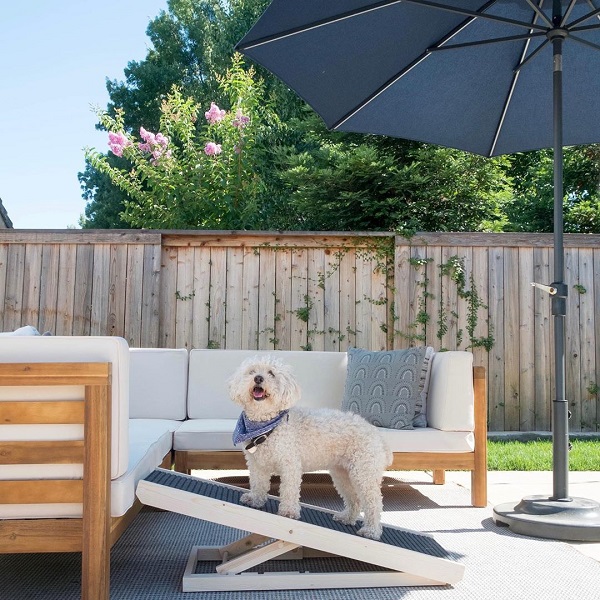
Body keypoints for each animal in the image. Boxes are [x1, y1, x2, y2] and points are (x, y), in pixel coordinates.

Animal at [227, 356, 392, 540]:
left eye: (271, 373)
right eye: (252, 371)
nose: (258, 378)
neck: (266, 426)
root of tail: (377, 435)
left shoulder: (290, 465)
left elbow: (289, 490)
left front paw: (288, 512)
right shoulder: (257, 464)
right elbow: (258, 483)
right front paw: (255, 500)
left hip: (364, 472)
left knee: (374, 503)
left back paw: (371, 530)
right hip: (342, 473)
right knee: (354, 499)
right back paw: (346, 518)